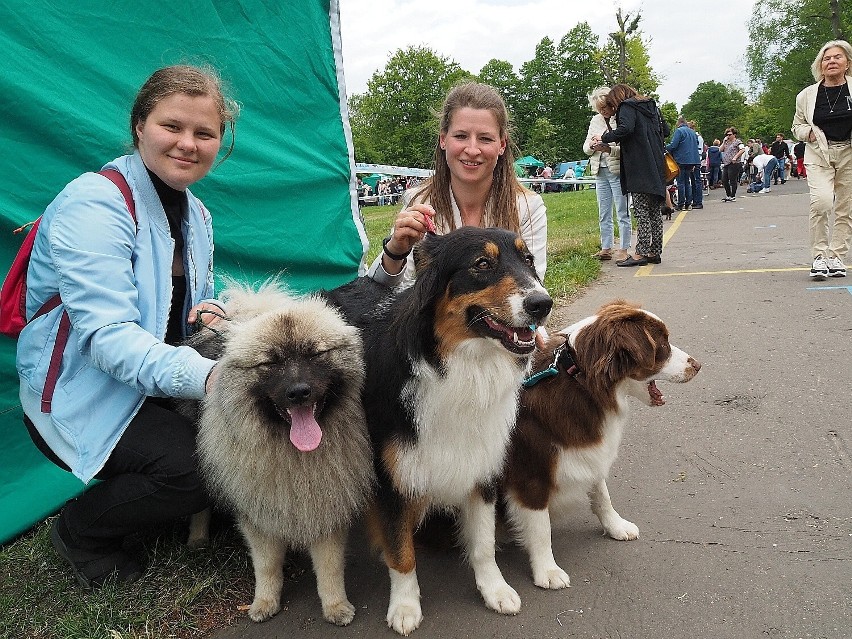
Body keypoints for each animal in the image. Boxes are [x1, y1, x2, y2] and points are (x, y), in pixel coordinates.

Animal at [180, 282, 372, 628]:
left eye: (315, 354)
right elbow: (267, 565)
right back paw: (197, 537)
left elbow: (330, 565)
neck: (294, 453)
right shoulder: (258, 512)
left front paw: (336, 605)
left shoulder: (328, 500)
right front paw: (265, 601)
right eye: (270, 362)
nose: (299, 392)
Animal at [326, 228, 552, 636]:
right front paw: (404, 607)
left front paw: (494, 590)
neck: (459, 363)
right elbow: (402, 552)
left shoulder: (481, 464)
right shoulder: (392, 478)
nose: (543, 304)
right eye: (482, 264)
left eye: (528, 260)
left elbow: (482, 542)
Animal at [506, 300, 700, 592]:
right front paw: (547, 570)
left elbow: (601, 495)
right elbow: (540, 527)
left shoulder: (587, 451)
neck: (583, 381)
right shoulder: (530, 471)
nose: (698, 365)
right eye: (663, 344)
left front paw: (616, 526)